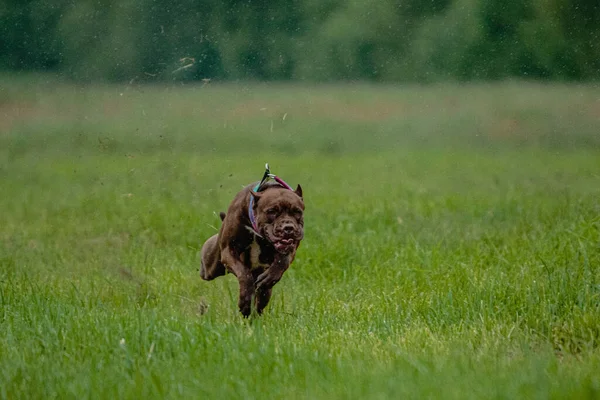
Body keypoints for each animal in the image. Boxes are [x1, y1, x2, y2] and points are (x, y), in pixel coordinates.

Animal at [200, 167, 304, 318]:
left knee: (260, 300)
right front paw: (244, 300)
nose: (288, 227)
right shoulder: (228, 250)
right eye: (272, 211)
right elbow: (244, 274)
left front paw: (270, 277)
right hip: (211, 267)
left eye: (297, 211)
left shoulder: (291, 248)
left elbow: (282, 261)